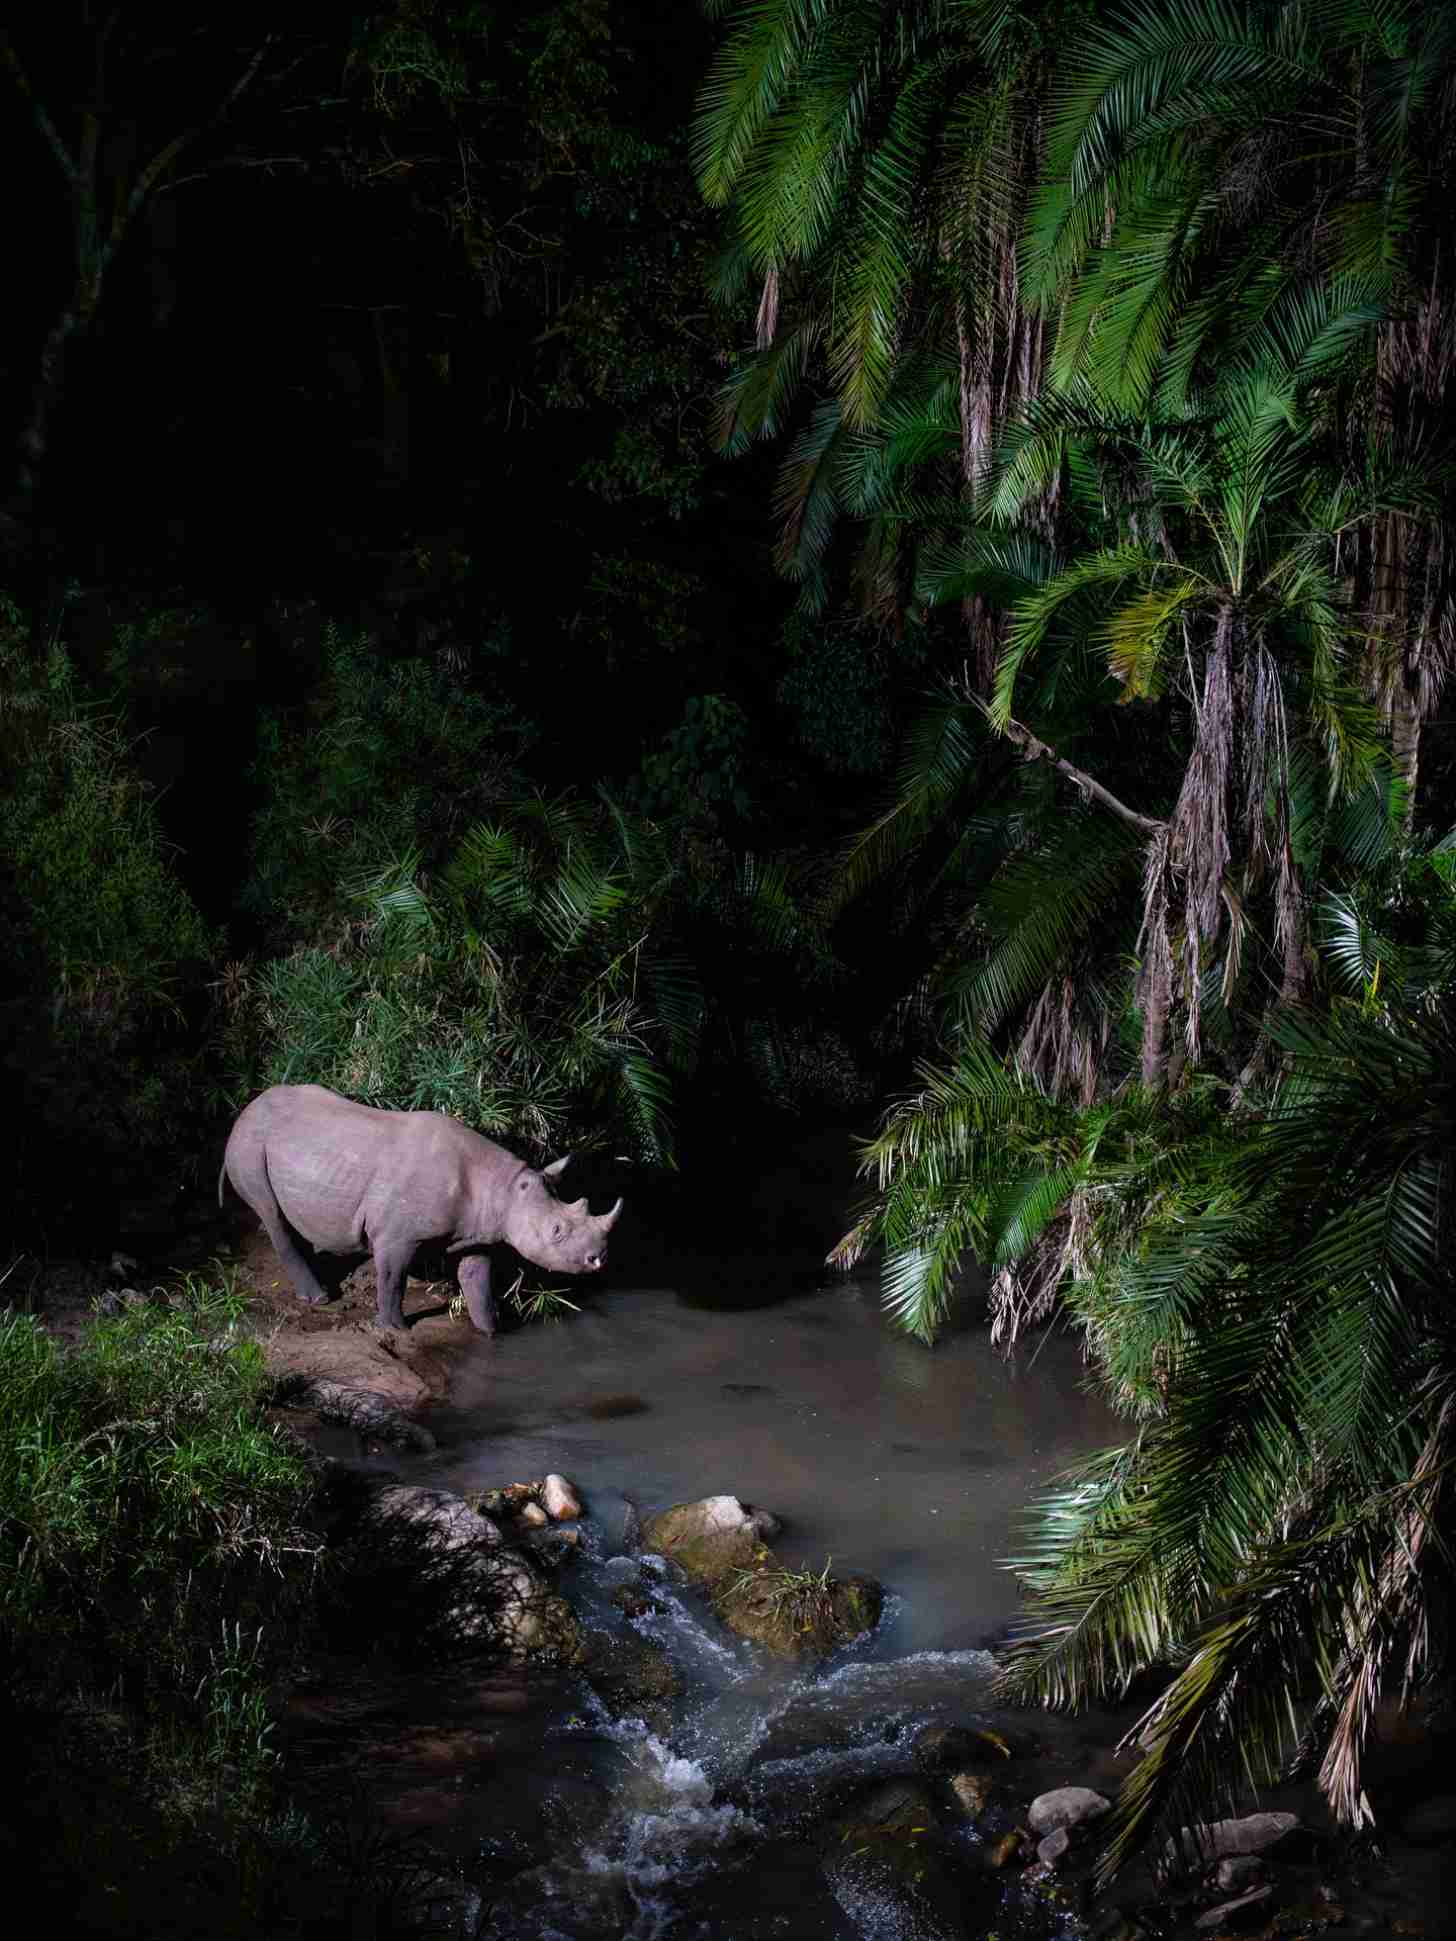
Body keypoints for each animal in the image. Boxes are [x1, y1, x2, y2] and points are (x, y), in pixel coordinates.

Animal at [219, 1083, 621, 1332]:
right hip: (248, 1143)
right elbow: (392, 1278)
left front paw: (491, 1330)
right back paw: (319, 1298)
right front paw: (394, 1328)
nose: (599, 1259)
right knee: (271, 1213)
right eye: (557, 1232)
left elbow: (477, 1279)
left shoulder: (479, 1232)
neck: (504, 1188)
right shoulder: (396, 1236)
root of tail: (245, 1109)